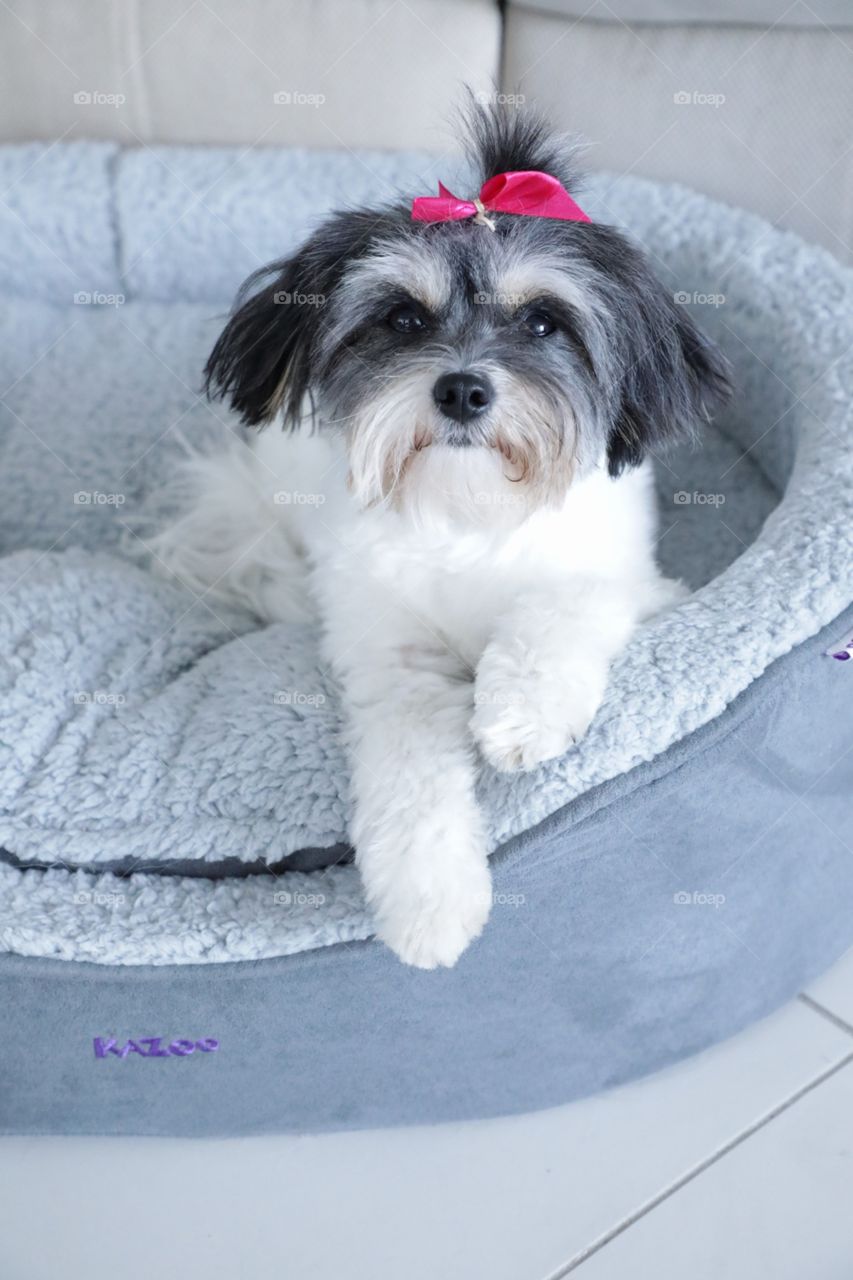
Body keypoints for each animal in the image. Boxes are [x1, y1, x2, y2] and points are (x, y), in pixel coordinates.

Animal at [149, 104, 727, 967]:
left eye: (543, 322)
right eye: (401, 318)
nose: (461, 388)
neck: (467, 509)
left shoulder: (625, 579)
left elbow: (558, 610)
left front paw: (521, 713)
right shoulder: (395, 666)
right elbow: (410, 779)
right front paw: (429, 904)